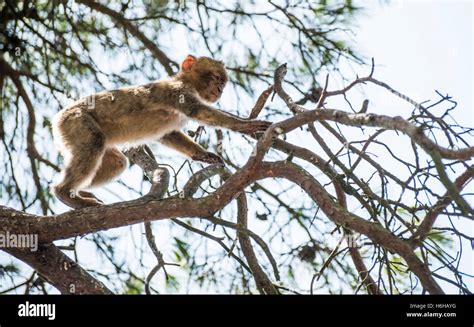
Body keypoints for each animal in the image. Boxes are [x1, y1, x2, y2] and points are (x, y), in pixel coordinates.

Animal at [51, 55, 270, 210]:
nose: (220, 90)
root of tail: (58, 118)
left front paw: (202, 155)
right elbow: (197, 112)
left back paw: (76, 192)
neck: (188, 83)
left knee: (116, 162)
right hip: (76, 121)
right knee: (95, 142)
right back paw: (64, 192)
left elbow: (168, 135)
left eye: (223, 83)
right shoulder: (177, 91)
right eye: (216, 78)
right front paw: (246, 125)